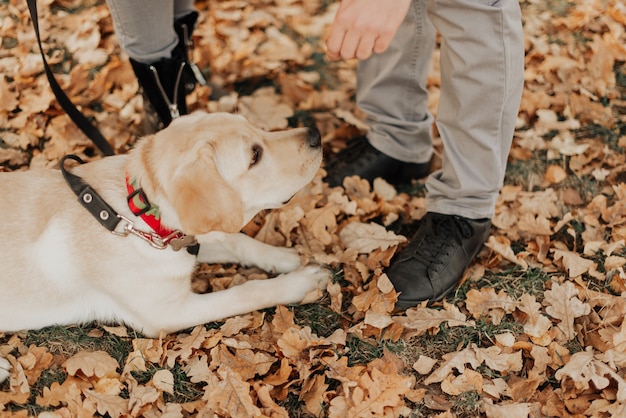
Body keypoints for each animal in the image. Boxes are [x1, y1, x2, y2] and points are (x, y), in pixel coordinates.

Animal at [0, 111, 324, 382]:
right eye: (255, 155)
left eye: (256, 127)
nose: (315, 134)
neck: (135, 216)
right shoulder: (168, 313)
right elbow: (246, 292)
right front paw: (300, 283)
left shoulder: (184, 242)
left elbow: (237, 241)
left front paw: (285, 257)